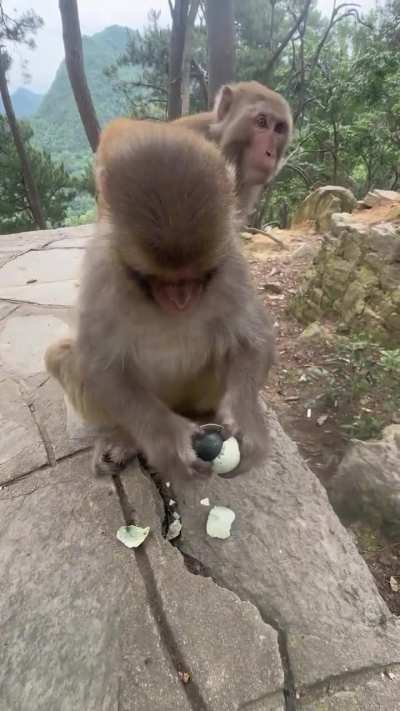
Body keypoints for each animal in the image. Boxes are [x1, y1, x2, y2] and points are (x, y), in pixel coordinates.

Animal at [45, 118, 275, 479]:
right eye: (157, 278)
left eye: (198, 275)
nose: (181, 299)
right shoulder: (101, 269)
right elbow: (99, 364)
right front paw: (168, 440)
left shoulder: (233, 262)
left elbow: (253, 338)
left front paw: (245, 420)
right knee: (62, 355)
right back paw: (124, 439)